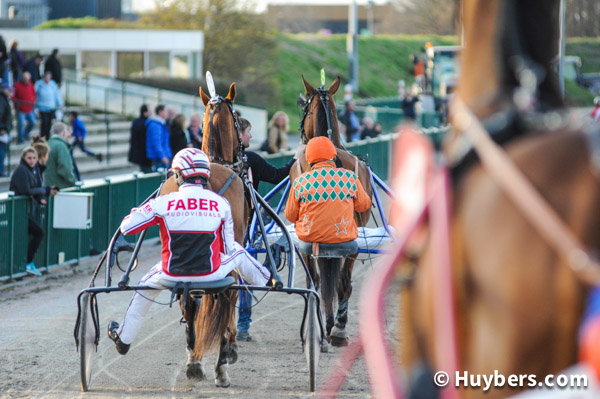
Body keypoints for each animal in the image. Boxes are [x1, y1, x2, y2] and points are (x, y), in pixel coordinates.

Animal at [156, 82, 247, 390]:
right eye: (238, 117)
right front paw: (230, 346)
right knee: (227, 294)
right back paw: (221, 366)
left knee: (187, 300)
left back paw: (194, 361)